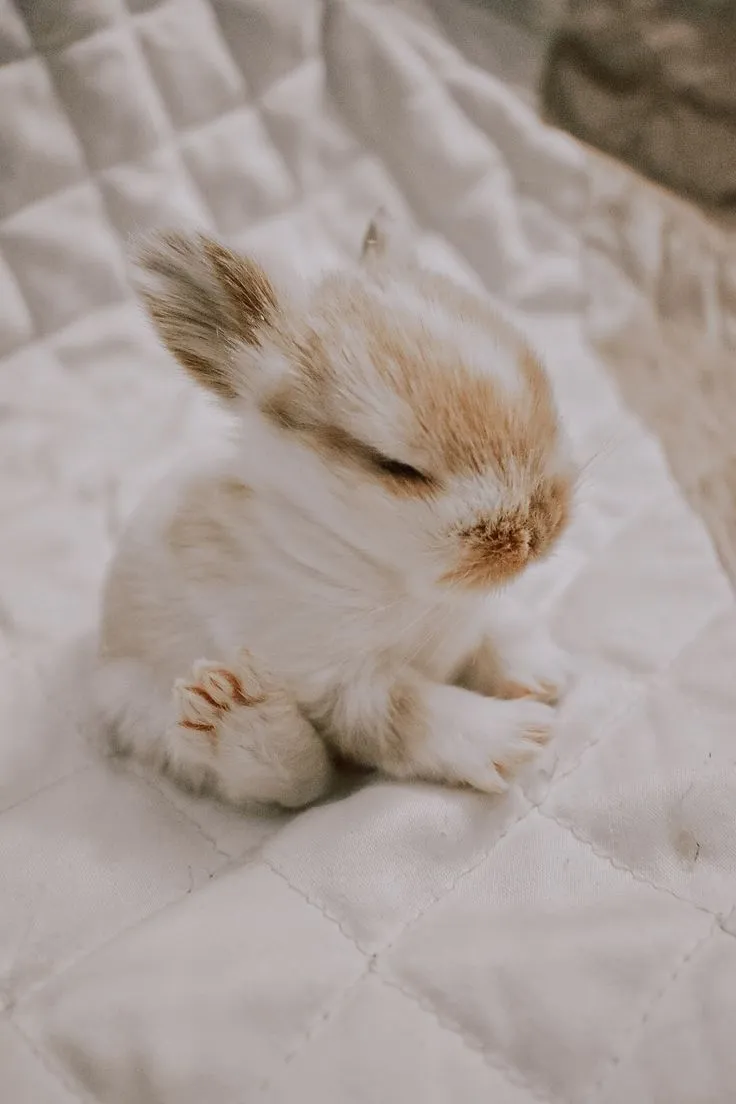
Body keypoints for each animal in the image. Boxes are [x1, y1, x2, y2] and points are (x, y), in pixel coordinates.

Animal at [94, 211, 575, 810]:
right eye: (395, 466)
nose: (536, 533)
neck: (390, 576)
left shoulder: (474, 613)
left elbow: (497, 628)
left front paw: (543, 673)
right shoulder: (338, 681)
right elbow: (410, 715)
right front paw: (515, 734)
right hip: (152, 711)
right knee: (294, 783)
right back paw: (232, 712)